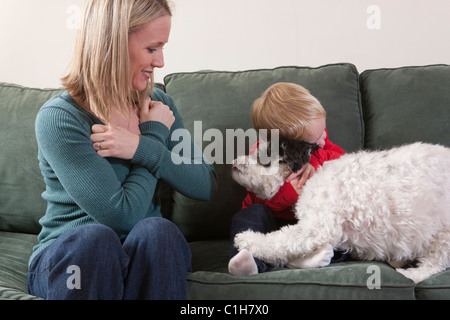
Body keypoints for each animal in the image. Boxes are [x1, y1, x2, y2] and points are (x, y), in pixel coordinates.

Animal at [232, 140, 450, 282]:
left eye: (264, 157)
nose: (234, 162)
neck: (313, 174)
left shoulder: (318, 226)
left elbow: (280, 240)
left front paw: (248, 239)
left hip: (443, 235)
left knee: (435, 264)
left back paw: (411, 274)